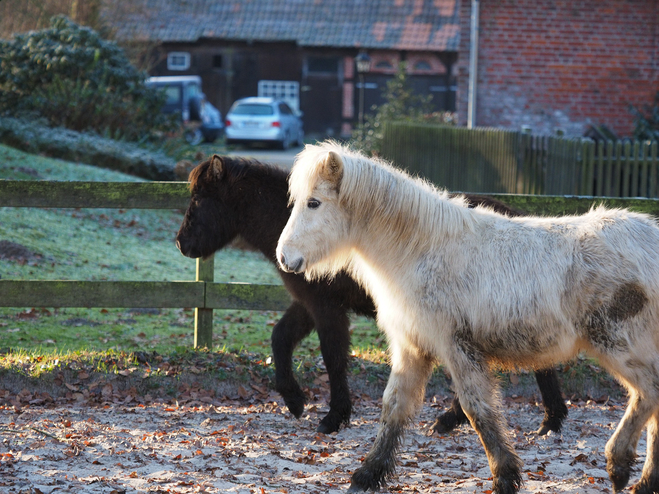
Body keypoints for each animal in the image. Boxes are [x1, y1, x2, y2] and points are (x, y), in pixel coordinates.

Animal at [175, 154, 568, 432]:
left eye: (199, 200)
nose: (181, 244)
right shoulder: (309, 304)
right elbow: (280, 338)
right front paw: (294, 400)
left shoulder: (326, 307)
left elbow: (333, 358)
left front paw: (334, 417)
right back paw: (542, 420)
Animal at [278, 140, 659, 494]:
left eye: (314, 202)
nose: (284, 257)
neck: (420, 251)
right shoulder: (412, 348)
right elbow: (394, 407)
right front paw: (366, 475)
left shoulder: (457, 347)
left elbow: (478, 409)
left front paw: (505, 478)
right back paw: (644, 480)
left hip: (616, 344)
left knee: (650, 392)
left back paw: (619, 465)